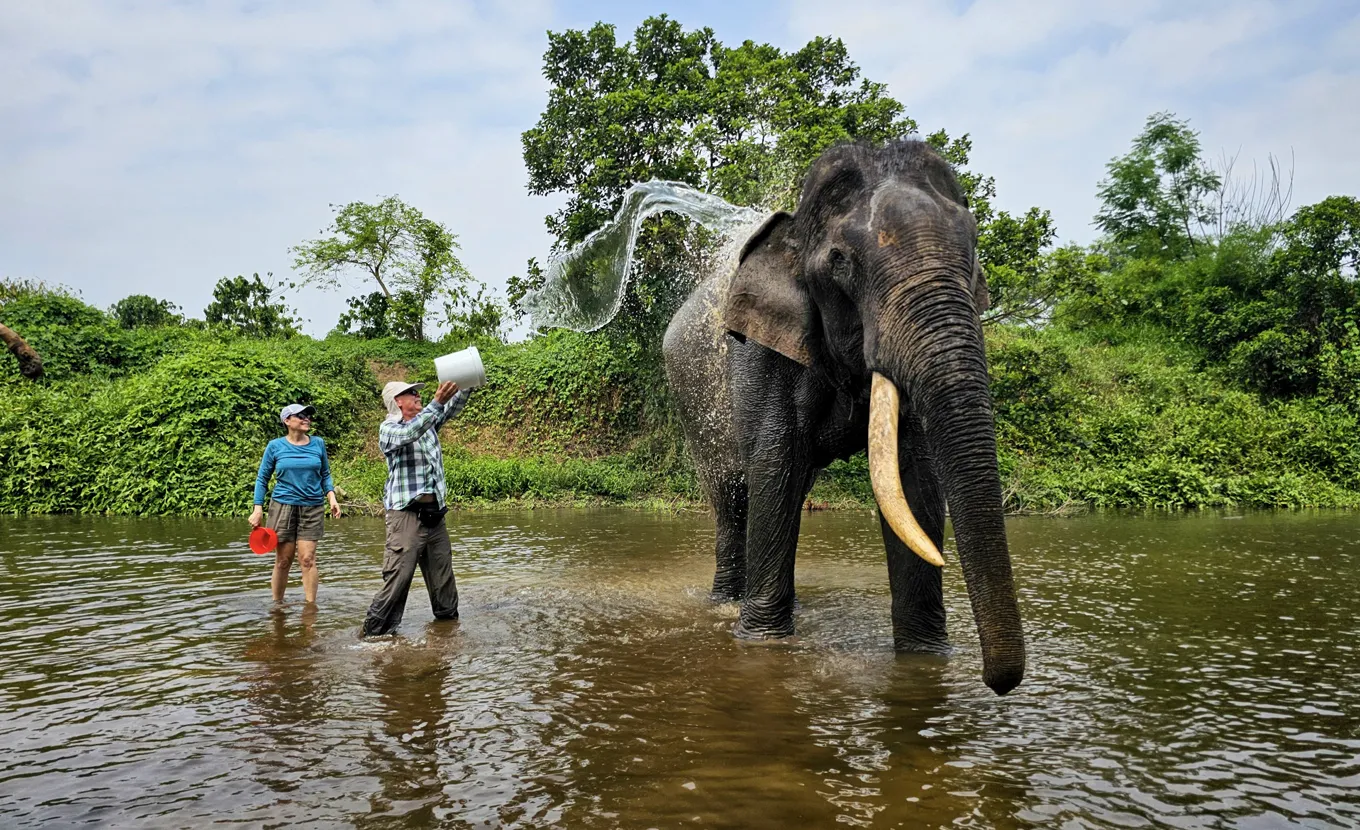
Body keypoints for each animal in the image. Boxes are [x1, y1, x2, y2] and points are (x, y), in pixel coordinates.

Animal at [663, 140, 1022, 691]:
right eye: (841, 263)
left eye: (974, 252)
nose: (999, 683)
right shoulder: (762, 350)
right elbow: (775, 460)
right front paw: (762, 643)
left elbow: (914, 479)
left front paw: (925, 657)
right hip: (694, 407)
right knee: (736, 498)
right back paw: (726, 603)